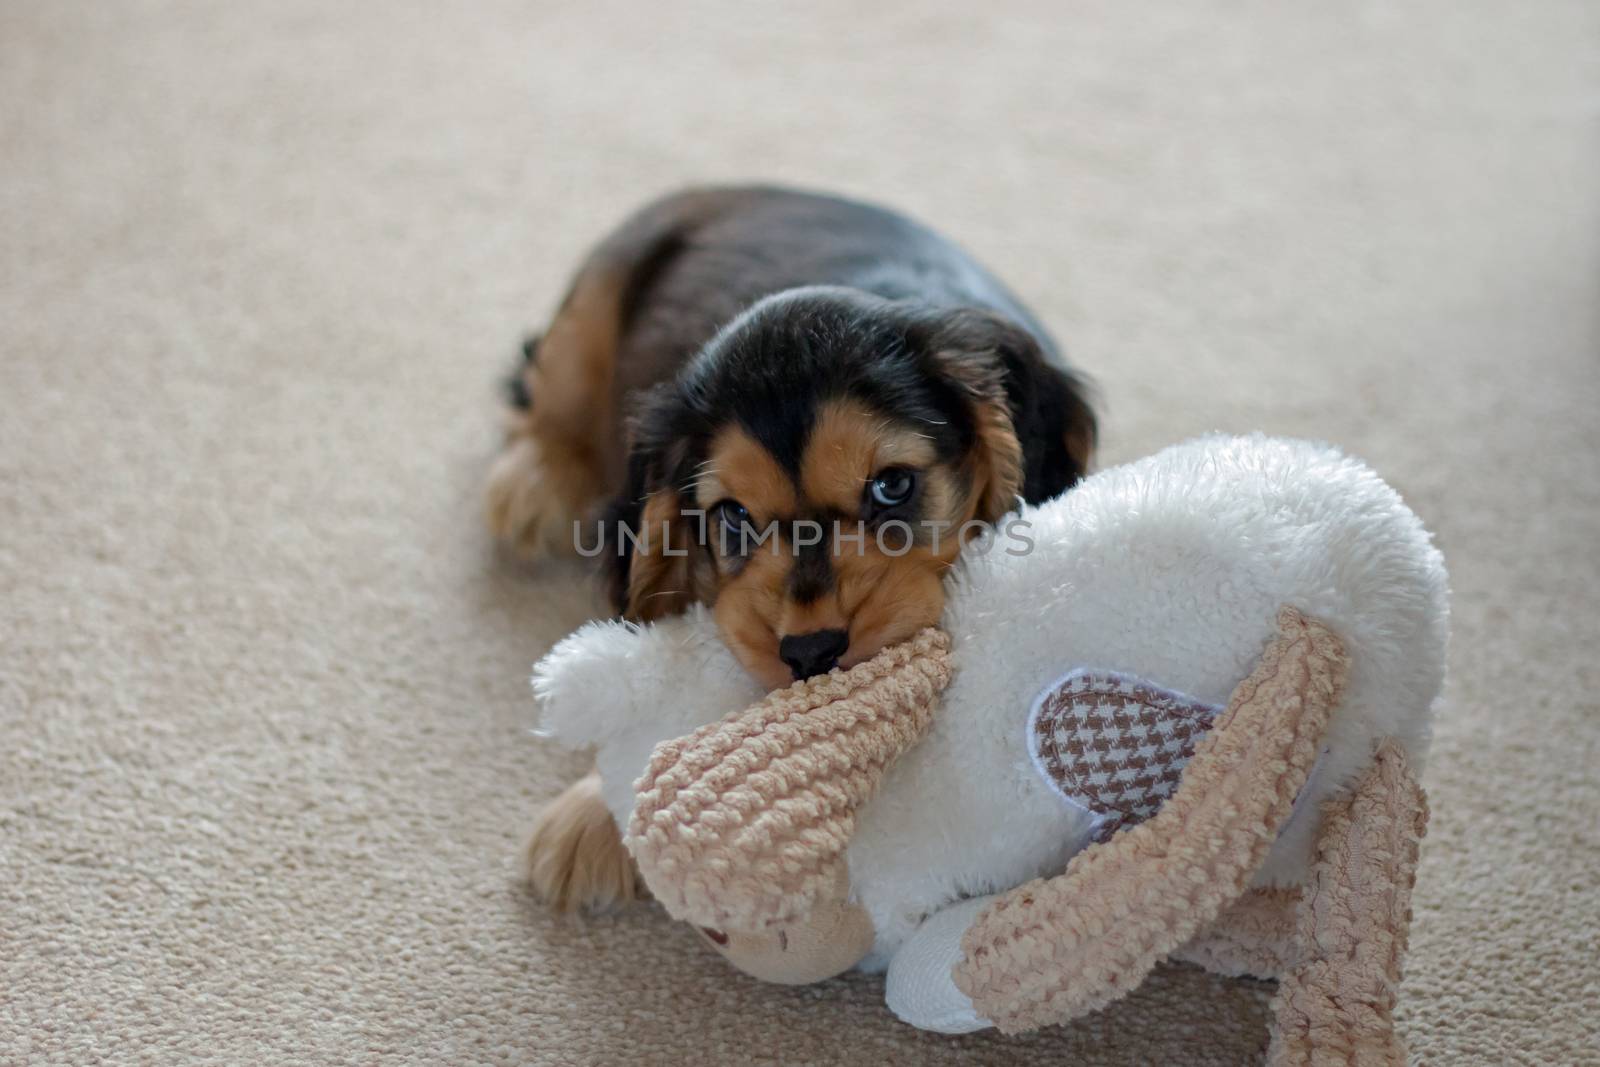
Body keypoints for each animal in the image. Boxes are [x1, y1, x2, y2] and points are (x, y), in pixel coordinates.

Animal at [483, 185, 1100, 908]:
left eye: (893, 485)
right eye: (734, 517)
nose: (811, 652)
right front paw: (594, 812)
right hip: (593, 308)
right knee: (550, 403)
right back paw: (533, 485)